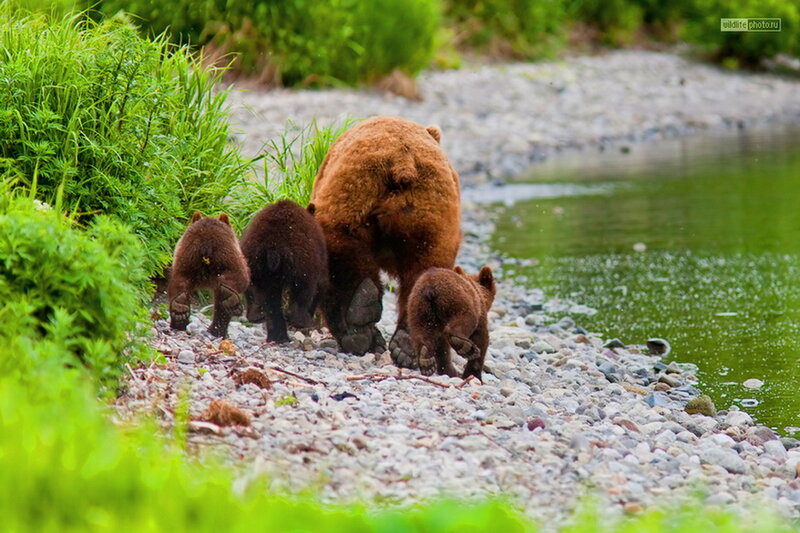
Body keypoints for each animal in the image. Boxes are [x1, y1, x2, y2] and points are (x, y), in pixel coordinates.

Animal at [239, 200, 328, 343]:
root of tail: (273, 247)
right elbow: (320, 285)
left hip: (254, 264)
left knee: (261, 295)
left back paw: (268, 326)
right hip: (303, 261)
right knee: (304, 289)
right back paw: (301, 321)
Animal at [310, 116, 461, 362]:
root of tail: (403, 161)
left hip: (352, 193)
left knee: (341, 249)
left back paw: (359, 328)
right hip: (432, 214)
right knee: (427, 265)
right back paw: (406, 344)